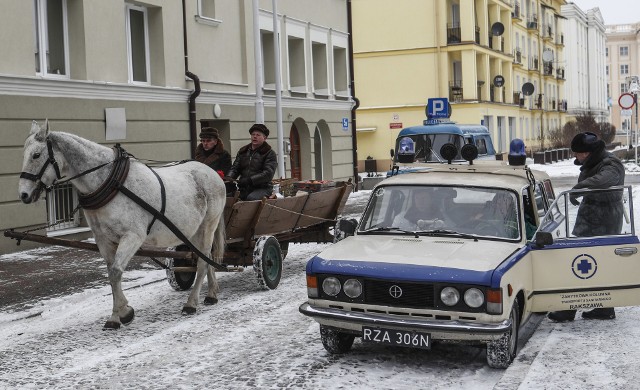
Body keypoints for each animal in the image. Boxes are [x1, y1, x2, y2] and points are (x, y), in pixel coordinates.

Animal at [18, 122, 228, 330]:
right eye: (24, 154)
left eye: (36, 155)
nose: (23, 194)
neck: (111, 183)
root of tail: (213, 174)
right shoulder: (103, 239)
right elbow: (111, 274)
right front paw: (120, 313)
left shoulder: (132, 236)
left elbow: (116, 272)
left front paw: (120, 313)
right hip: (192, 230)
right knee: (206, 257)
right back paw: (211, 293)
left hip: (208, 225)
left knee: (202, 262)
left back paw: (191, 303)